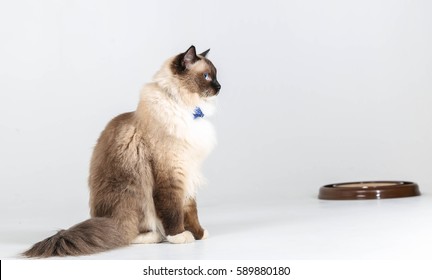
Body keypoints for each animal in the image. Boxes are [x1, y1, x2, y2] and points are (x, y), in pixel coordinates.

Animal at [23, 46, 221, 258]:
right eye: (207, 76)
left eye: (215, 75)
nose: (219, 87)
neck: (188, 108)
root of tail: (106, 220)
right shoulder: (172, 172)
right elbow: (173, 210)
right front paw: (179, 236)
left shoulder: (189, 170)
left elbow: (190, 210)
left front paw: (199, 234)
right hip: (137, 193)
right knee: (128, 234)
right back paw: (156, 236)